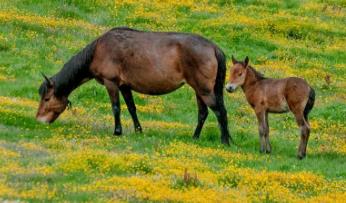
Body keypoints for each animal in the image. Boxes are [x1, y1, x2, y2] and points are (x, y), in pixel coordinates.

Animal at [36, 26, 231, 144]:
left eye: (47, 99)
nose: (38, 120)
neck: (99, 49)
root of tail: (213, 47)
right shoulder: (124, 85)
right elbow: (131, 108)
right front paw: (138, 131)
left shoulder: (111, 83)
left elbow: (116, 108)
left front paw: (117, 131)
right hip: (199, 90)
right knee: (203, 113)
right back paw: (195, 137)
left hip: (204, 90)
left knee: (220, 111)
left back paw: (224, 140)